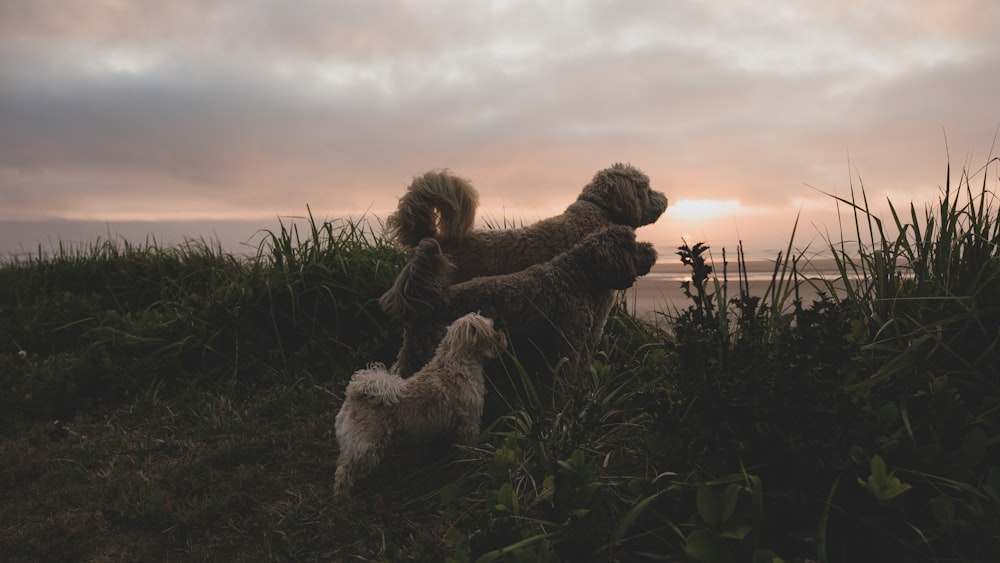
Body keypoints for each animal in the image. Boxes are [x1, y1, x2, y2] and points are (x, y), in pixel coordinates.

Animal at [334, 312, 508, 498]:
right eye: (491, 327)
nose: (503, 335)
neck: (457, 364)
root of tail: (355, 394)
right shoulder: (469, 422)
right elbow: (469, 447)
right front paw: (472, 461)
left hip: (354, 445)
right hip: (367, 448)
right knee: (343, 471)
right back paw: (342, 496)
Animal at [380, 225, 656, 384]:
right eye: (632, 246)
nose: (652, 251)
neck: (579, 275)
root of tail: (429, 303)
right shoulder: (569, 343)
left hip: (410, 356)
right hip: (431, 352)